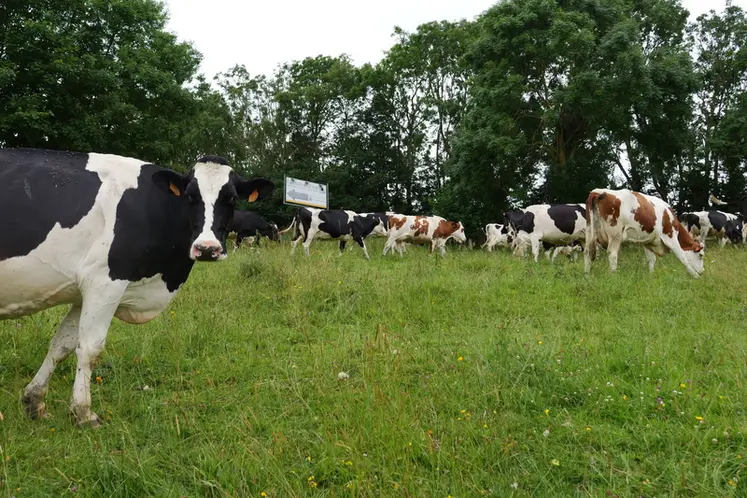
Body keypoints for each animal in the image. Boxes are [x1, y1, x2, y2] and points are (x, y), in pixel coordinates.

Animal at [0, 148, 274, 427]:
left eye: (231, 198)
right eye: (190, 196)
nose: (207, 248)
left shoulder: (82, 292)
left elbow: (62, 344)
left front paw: (34, 400)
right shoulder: (105, 281)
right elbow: (89, 348)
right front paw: (84, 413)